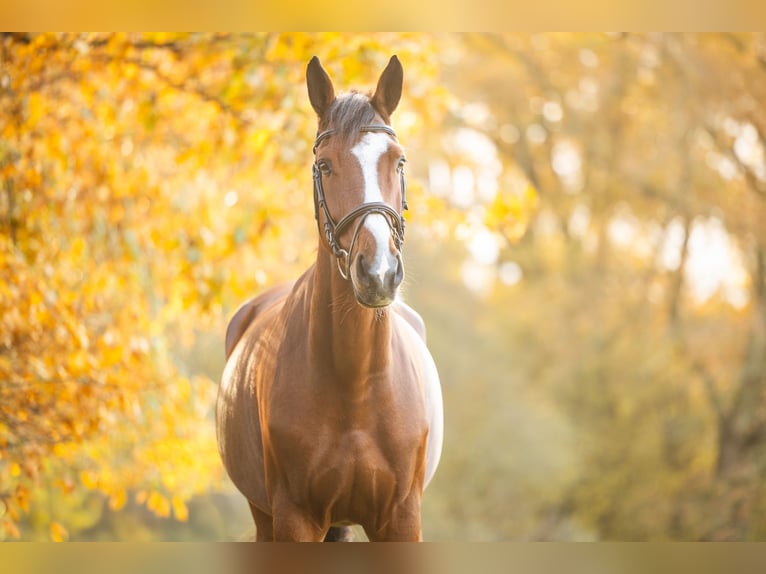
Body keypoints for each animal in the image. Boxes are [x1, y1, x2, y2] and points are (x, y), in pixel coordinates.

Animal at [216, 55, 444, 544]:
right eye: (324, 166)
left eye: (398, 160)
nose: (377, 272)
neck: (356, 382)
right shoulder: (294, 518)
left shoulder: (401, 519)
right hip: (264, 516)